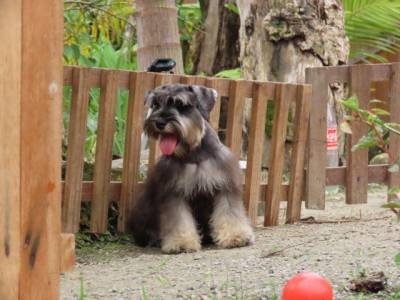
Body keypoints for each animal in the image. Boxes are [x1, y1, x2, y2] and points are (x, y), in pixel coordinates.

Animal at [130, 82, 255, 253]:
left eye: (181, 104)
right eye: (155, 104)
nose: (159, 123)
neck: (194, 153)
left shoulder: (225, 186)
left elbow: (229, 213)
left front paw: (236, 236)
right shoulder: (174, 192)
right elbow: (179, 219)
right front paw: (181, 242)